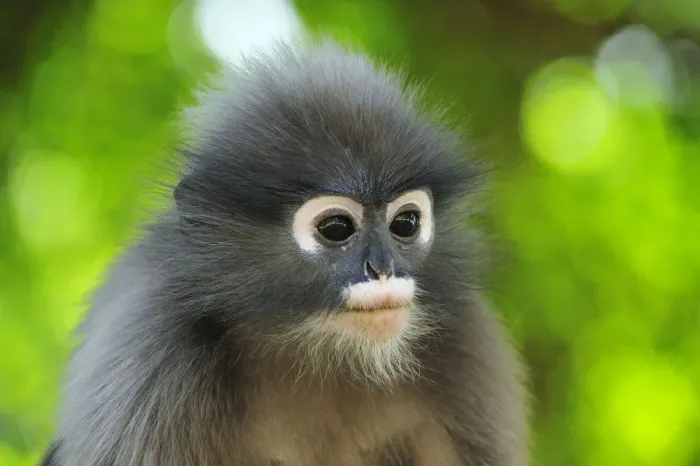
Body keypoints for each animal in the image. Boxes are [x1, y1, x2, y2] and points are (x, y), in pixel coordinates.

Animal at [41, 40, 529, 466]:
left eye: (405, 224)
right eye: (336, 228)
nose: (383, 268)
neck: (318, 350)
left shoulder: (465, 342)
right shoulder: (151, 354)